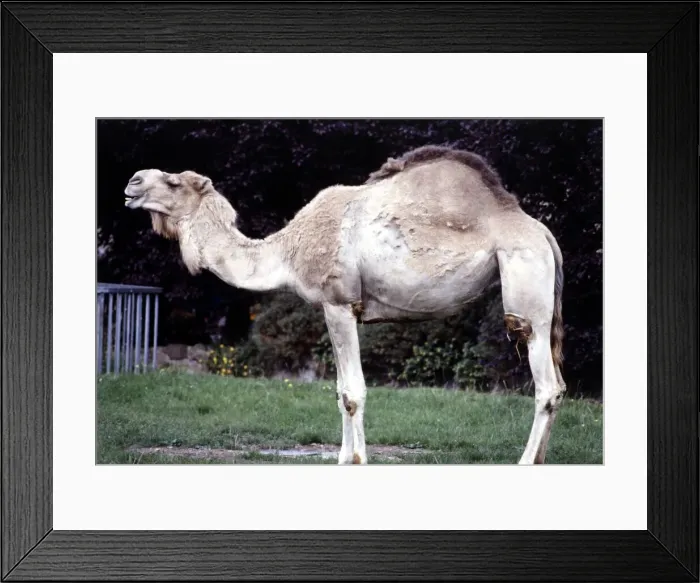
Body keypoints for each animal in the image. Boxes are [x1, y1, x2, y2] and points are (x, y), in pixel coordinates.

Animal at [123, 145, 567, 465]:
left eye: (174, 181)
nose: (132, 180)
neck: (288, 250)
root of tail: (543, 232)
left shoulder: (339, 303)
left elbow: (353, 392)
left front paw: (355, 460)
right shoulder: (328, 308)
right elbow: (339, 392)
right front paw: (342, 458)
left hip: (526, 289)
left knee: (546, 384)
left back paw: (525, 461)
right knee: (558, 385)